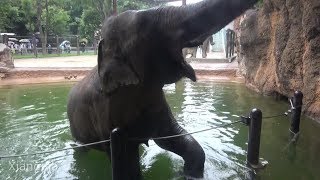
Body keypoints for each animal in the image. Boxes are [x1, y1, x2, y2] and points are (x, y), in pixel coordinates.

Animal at [67, 0, 258, 179]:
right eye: (145, 28)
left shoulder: (154, 98)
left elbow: (170, 137)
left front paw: (189, 174)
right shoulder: (106, 111)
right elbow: (125, 158)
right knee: (81, 148)